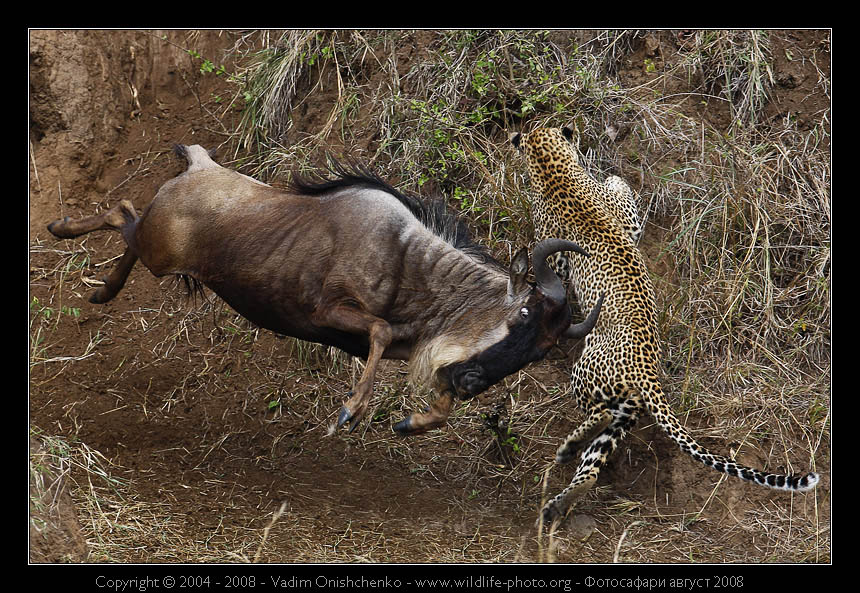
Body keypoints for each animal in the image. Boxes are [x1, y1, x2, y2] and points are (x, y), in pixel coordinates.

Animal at [510, 123, 820, 524]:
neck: (556, 172)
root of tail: (648, 373)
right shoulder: (627, 223)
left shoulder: (559, 256)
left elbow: (611, 190)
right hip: (625, 413)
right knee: (592, 465)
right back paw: (558, 499)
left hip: (588, 376)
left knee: (598, 415)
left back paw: (567, 451)